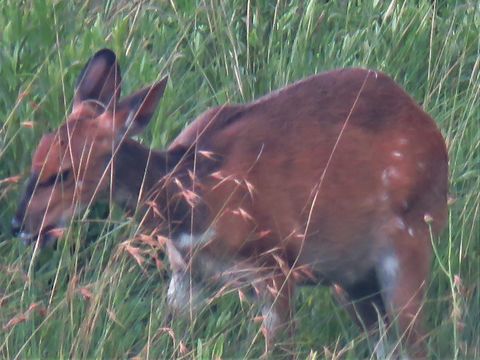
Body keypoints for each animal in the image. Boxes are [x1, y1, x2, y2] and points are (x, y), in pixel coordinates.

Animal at [11, 49, 448, 356]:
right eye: (35, 157)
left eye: (64, 171)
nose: (19, 225)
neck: (189, 200)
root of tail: (433, 134)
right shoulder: (187, 275)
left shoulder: (275, 266)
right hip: (353, 281)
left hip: (407, 247)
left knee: (416, 343)